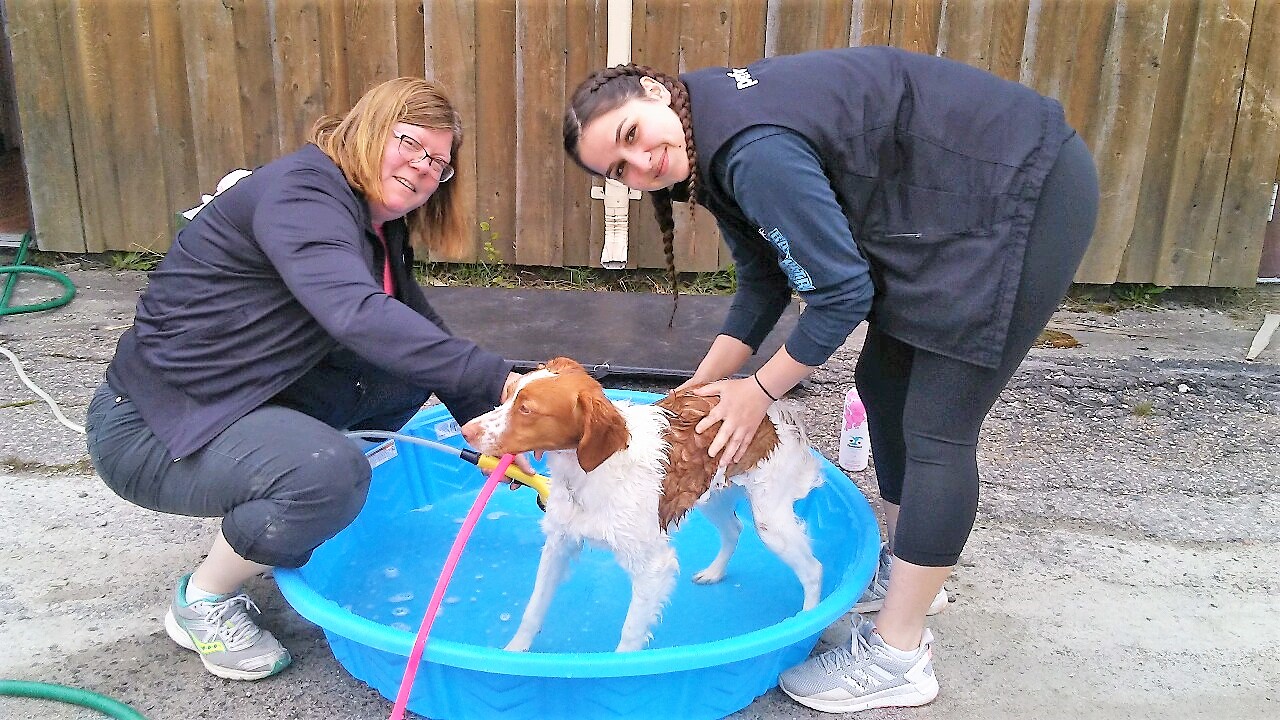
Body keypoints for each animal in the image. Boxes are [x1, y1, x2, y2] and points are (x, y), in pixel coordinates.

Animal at [460, 356, 819, 650]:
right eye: (508, 396)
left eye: (527, 410)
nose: (465, 430)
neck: (589, 473)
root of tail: (776, 408)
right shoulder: (558, 544)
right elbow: (533, 609)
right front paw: (512, 654)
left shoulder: (653, 566)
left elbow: (631, 634)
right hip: (708, 493)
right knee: (734, 528)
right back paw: (714, 572)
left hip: (770, 520)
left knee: (813, 569)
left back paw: (806, 622)